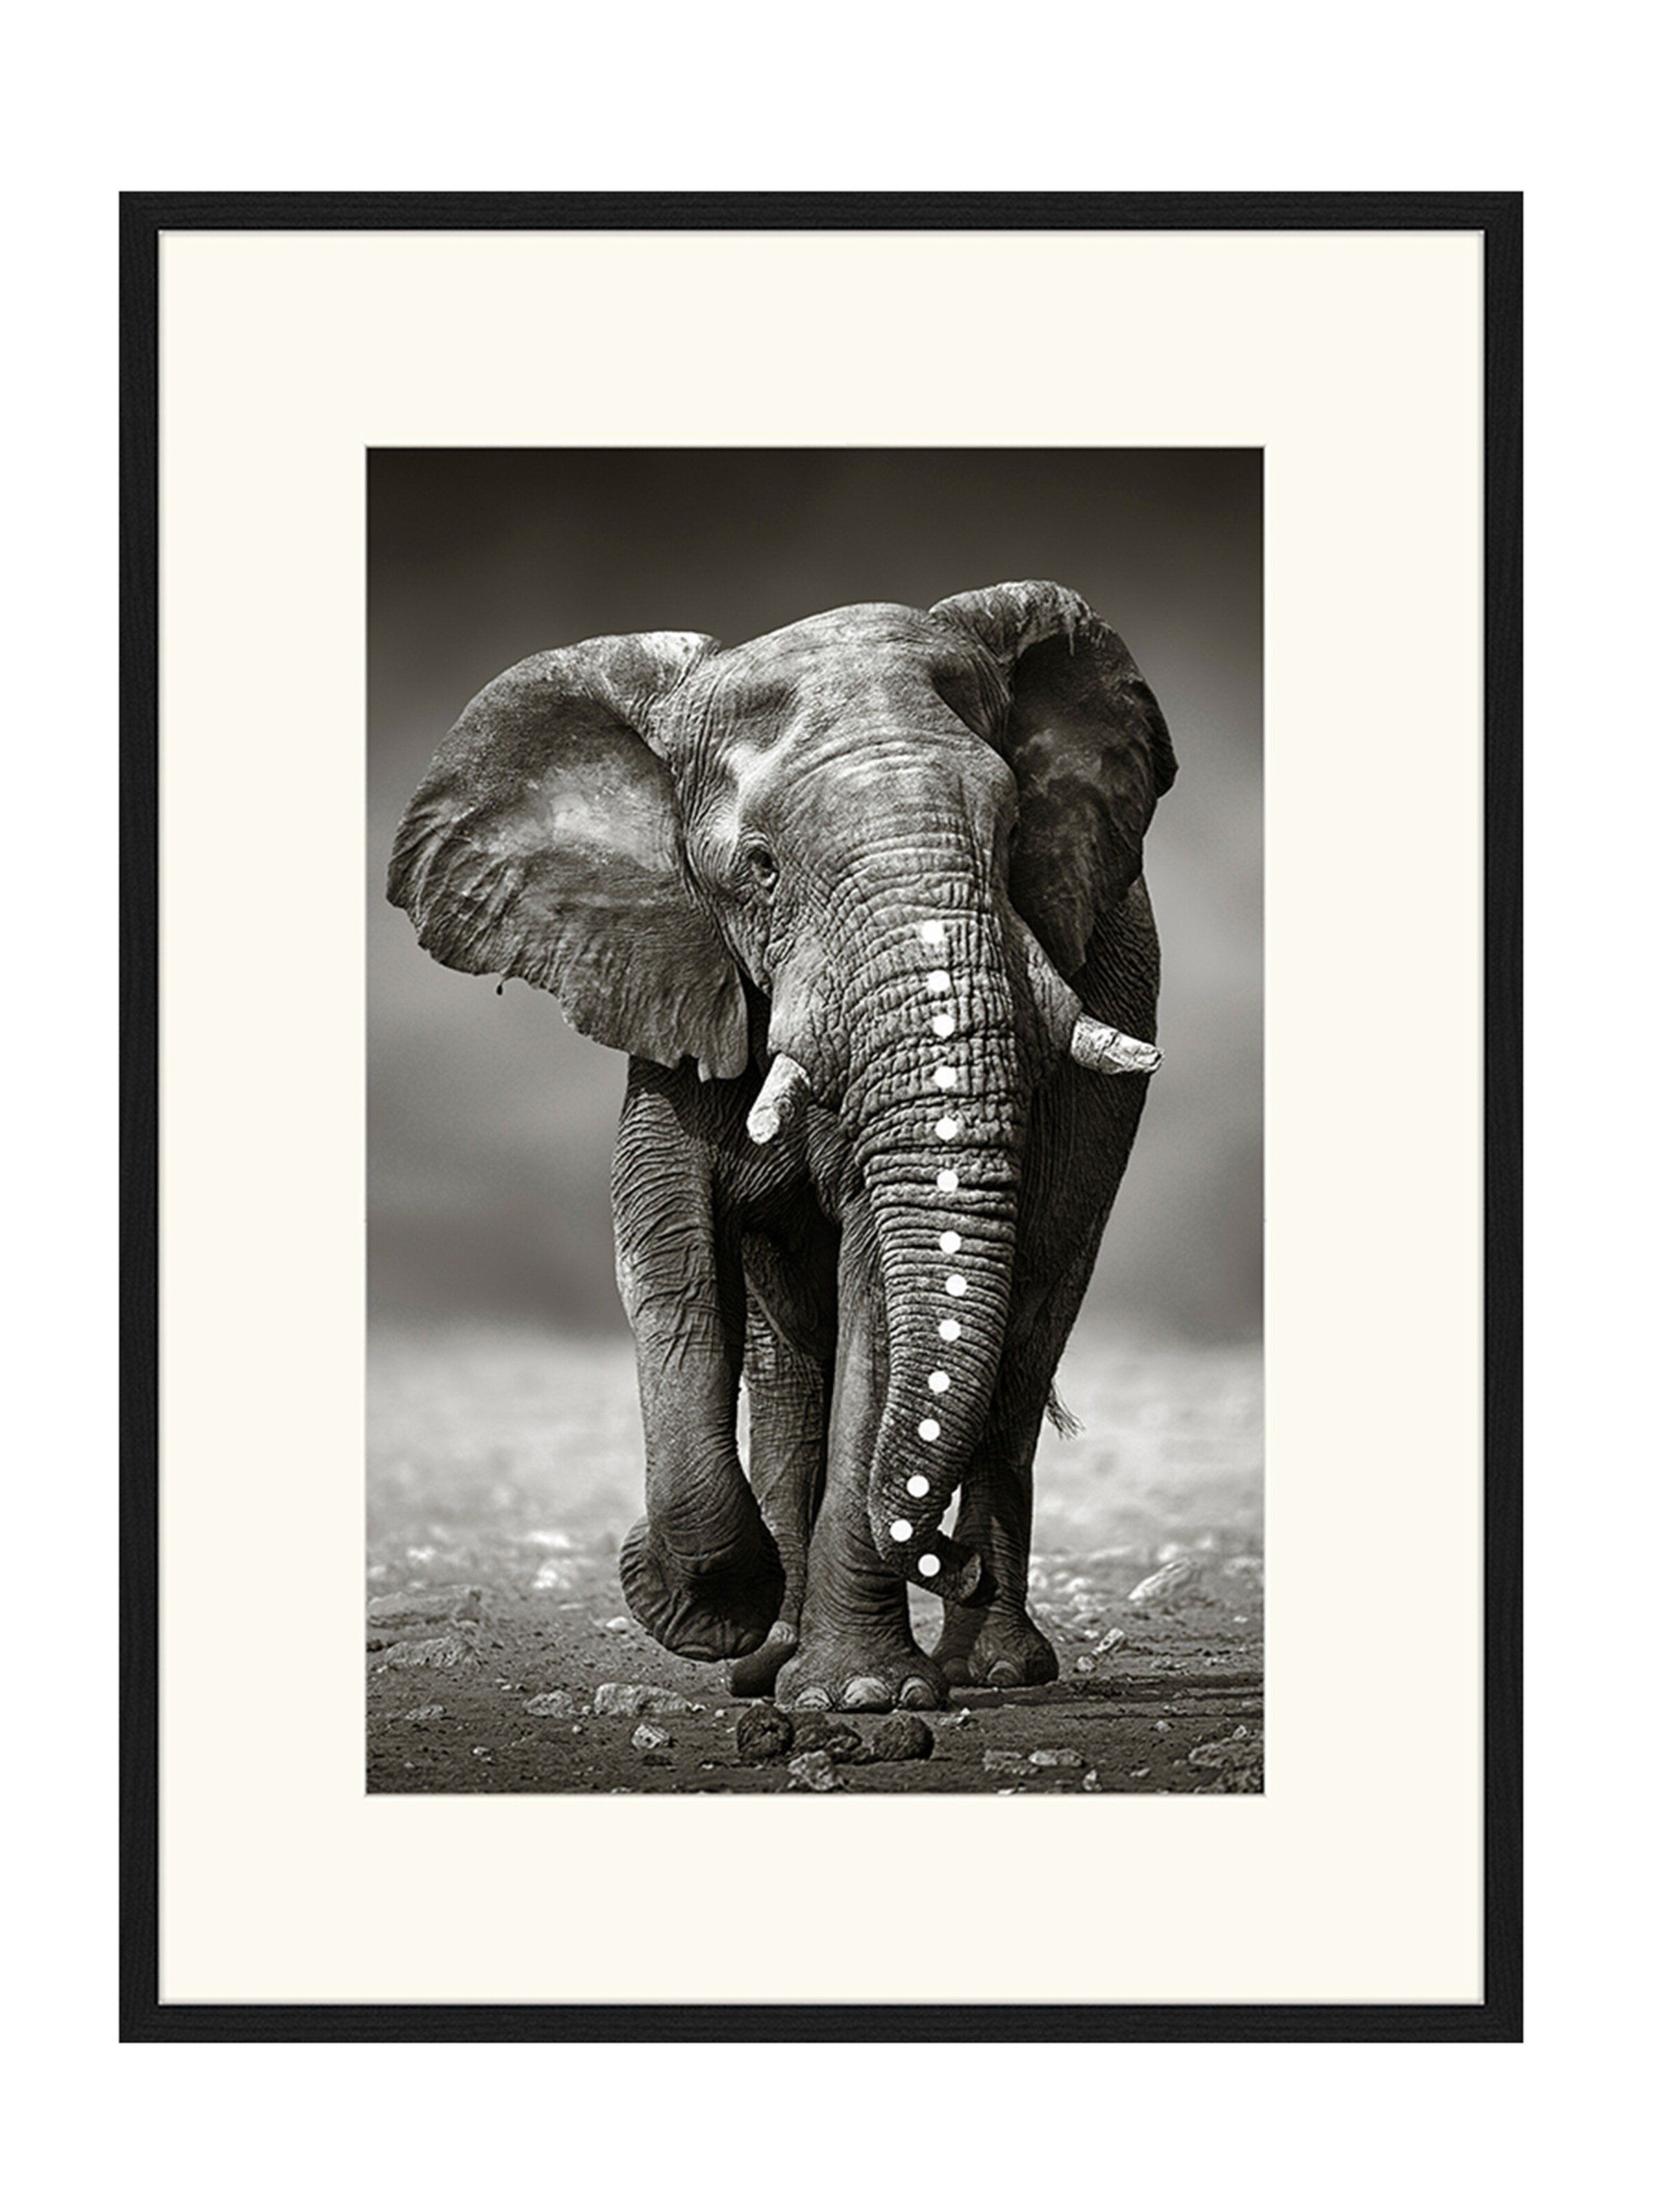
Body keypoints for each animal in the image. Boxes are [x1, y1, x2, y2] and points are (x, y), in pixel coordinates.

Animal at [388, 580, 1176, 1713]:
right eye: (759, 869)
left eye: (1014, 831)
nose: (942, 1560)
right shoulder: (674, 976)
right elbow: (666, 1252)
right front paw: (709, 1612)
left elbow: (879, 1287)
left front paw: (862, 1696)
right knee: (788, 1368)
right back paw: (771, 1661)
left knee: (1025, 1333)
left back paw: (988, 1669)